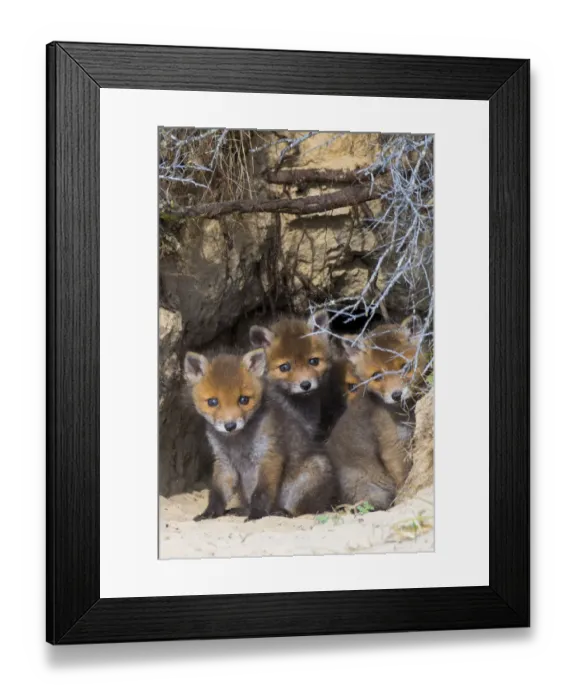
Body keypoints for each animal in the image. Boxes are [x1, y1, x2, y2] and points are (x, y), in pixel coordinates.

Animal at [183, 348, 335, 521]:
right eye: (213, 402)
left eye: (243, 399)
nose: (230, 425)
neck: (237, 442)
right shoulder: (224, 463)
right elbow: (218, 493)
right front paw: (210, 513)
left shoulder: (269, 456)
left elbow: (261, 493)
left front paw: (256, 514)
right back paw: (242, 510)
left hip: (310, 477)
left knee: (306, 510)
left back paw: (283, 512)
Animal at [327, 316, 429, 510]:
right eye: (376, 376)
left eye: (405, 367)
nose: (396, 395)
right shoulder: (392, 445)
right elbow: (403, 477)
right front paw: (404, 496)